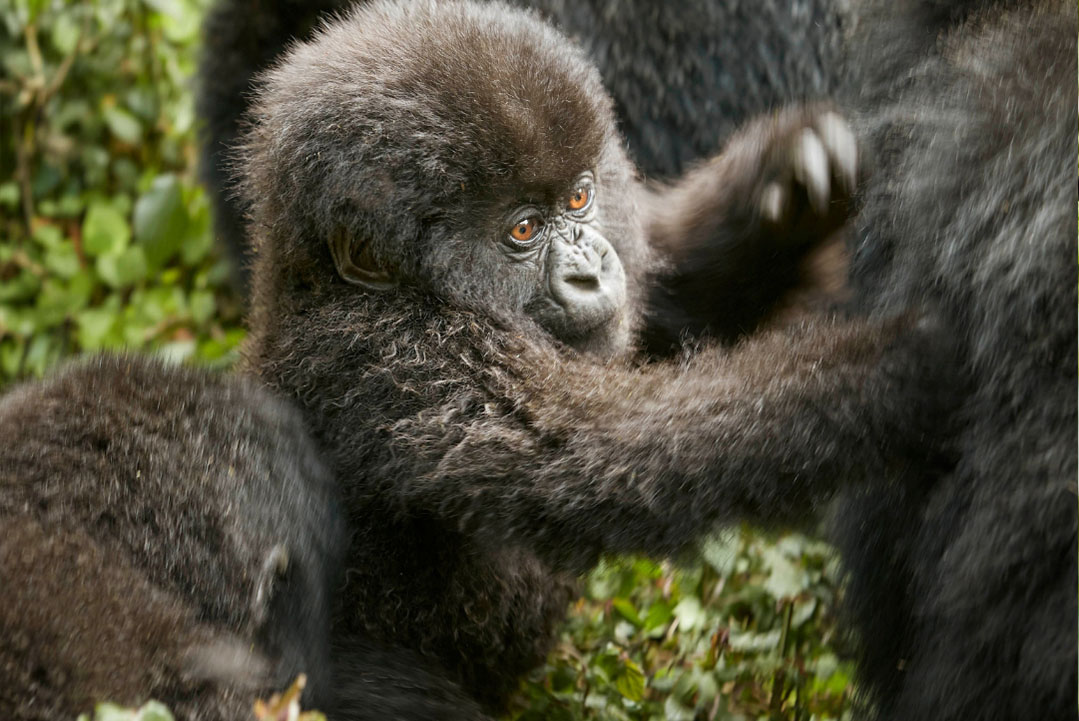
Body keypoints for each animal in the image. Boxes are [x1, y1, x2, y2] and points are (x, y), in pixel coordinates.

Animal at [233, 1, 950, 715]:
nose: (590, 271)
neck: (329, 285)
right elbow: (620, 455)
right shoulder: (404, 362)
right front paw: (900, 365)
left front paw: (788, 185)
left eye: (579, 198)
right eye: (523, 229)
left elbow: (667, 290)